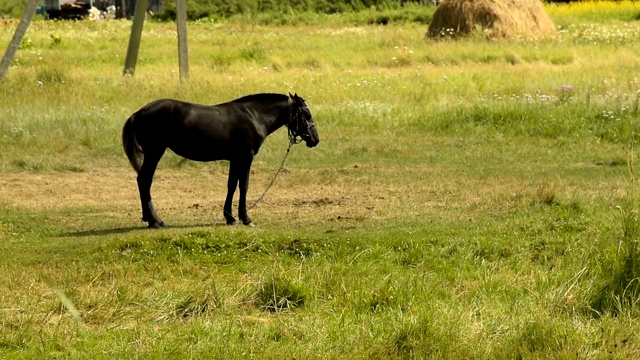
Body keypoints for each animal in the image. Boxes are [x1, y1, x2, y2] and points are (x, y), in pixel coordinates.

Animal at [121, 93, 318, 228]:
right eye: (307, 114)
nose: (315, 139)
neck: (254, 116)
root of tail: (139, 113)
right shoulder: (246, 157)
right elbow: (244, 185)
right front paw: (246, 218)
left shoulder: (235, 159)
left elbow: (231, 185)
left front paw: (230, 217)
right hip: (155, 152)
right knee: (144, 180)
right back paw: (154, 220)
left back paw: (151, 219)